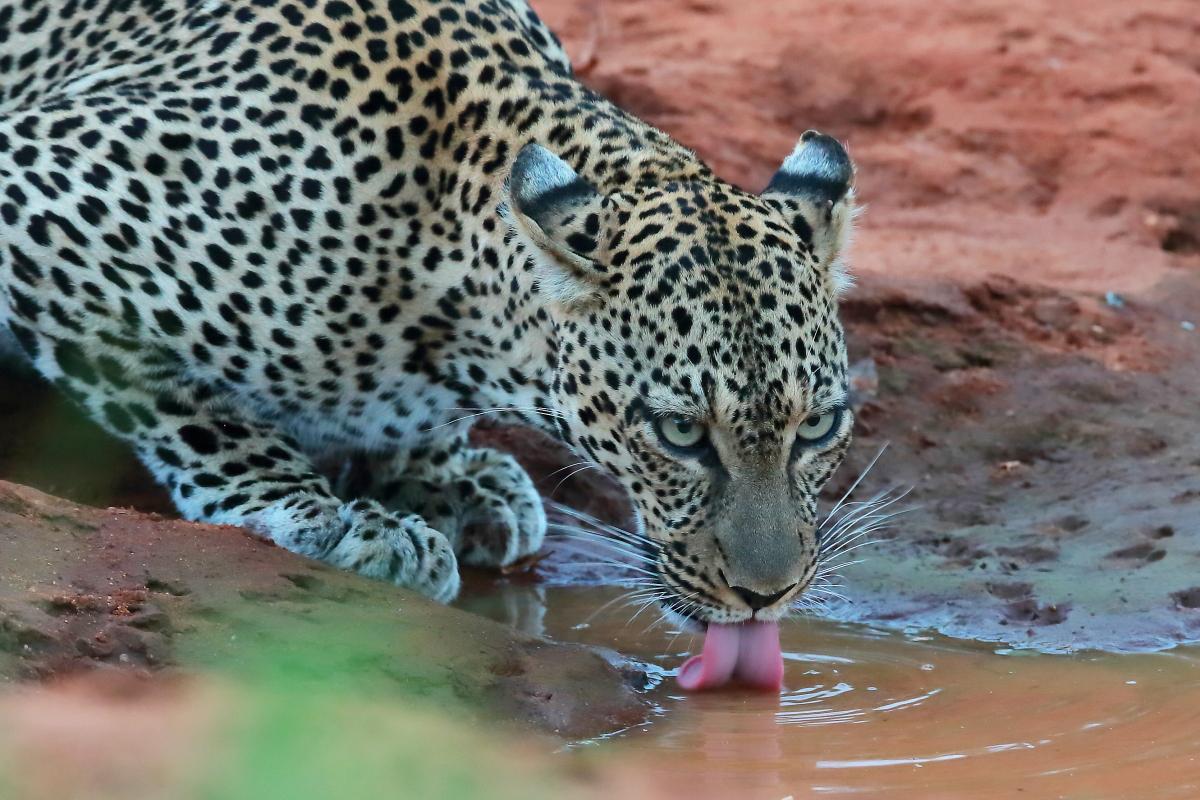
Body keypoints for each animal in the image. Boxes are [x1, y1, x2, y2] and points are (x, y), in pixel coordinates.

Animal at [0, 0, 857, 624]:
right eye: (679, 434)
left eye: (818, 427)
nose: (768, 597)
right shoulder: (41, 189)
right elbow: (186, 404)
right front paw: (316, 510)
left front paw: (442, 481)